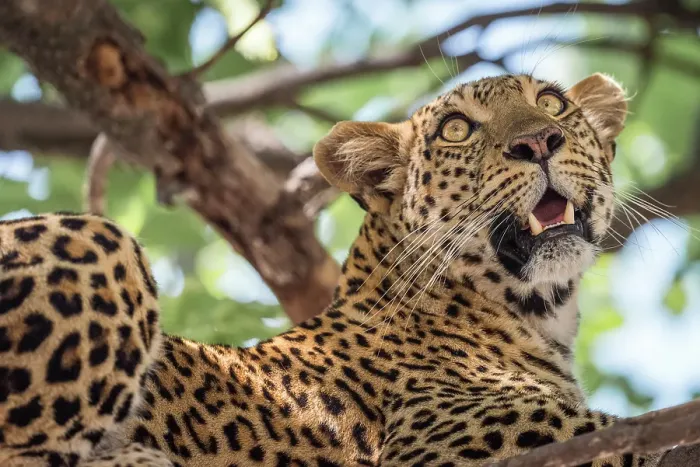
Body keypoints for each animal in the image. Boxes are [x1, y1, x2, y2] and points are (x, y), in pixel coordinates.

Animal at [0, 73, 664, 467]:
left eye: (552, 103)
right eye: (456, 129)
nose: (540, 141)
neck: (535, 314)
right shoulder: (453, 442)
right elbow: (628, 430)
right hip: (104, 240)